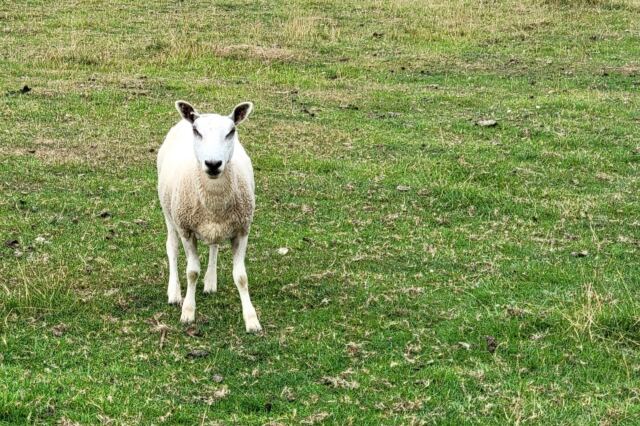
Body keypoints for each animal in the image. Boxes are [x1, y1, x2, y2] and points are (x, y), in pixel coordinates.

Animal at [156, 100, 261, 333]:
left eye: (231, 131)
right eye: (197, 131)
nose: (213, 164)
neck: (213, 202)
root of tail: (184, 120)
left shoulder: (242, 230)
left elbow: (241, 277)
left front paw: (251, 319)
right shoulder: (186, 230)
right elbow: (192, 272)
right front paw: (188, 312)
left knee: (214, 245)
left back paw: (211, 281)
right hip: (169, 213)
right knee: (172, 248)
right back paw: (174, 292)